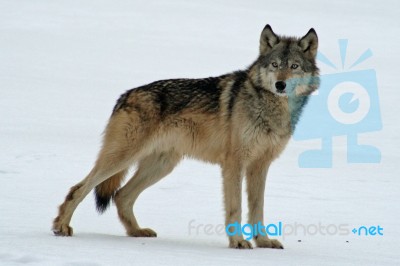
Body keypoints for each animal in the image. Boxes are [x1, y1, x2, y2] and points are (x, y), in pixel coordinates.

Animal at [53, 24, 320, 249]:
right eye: (274, 65)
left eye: (294, 66)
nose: (280, 85)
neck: (271, 108)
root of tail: (124, 96)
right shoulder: (234, 164)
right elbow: (235, 207)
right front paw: (238, 242)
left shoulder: (260, 166)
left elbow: (257, 208)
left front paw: (263, 242)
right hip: (121, 159)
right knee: (79, 188)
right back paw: (61, 226)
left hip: (162, 165)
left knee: (121, 196)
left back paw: (137, 231)